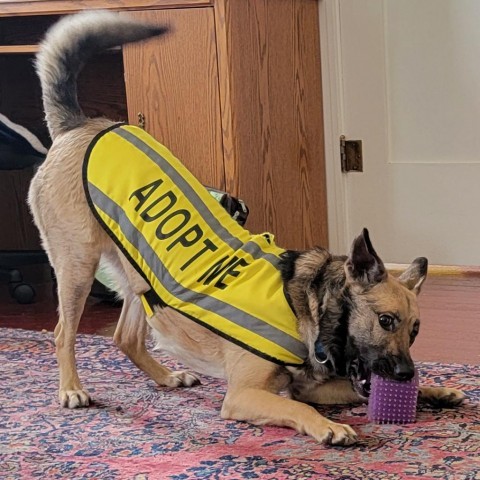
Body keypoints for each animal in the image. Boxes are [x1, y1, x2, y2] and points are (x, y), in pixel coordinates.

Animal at [28, 11, 464, 446]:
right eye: (385, 321)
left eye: (416, 330)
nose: (406, 374)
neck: (306, 305)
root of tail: (79, 126)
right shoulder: (244, 395)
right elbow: (300, 408)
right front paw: (331, 426)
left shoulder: (311, 385)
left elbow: (332, 392)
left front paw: (433, 390)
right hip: (77, 269)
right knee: (63, 332)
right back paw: (71, 388)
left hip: (136, 274)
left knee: (125, 337)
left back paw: (167, 377)